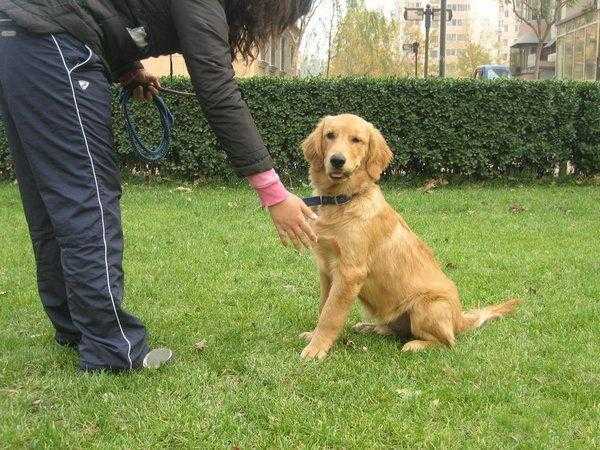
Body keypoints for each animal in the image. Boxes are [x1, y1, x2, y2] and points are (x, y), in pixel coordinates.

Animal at [298, 114, 516, 360]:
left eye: (356, 140)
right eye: (330, 135)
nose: (337, 160)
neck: (342, 200)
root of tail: (460, 319)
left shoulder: (349, 272)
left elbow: (331, 314)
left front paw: (316, 348)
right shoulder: (326, 270)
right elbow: (323, 306)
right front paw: (314, 336)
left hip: (427, 307)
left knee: (447, 342)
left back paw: (415, 345)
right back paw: (370, 327)